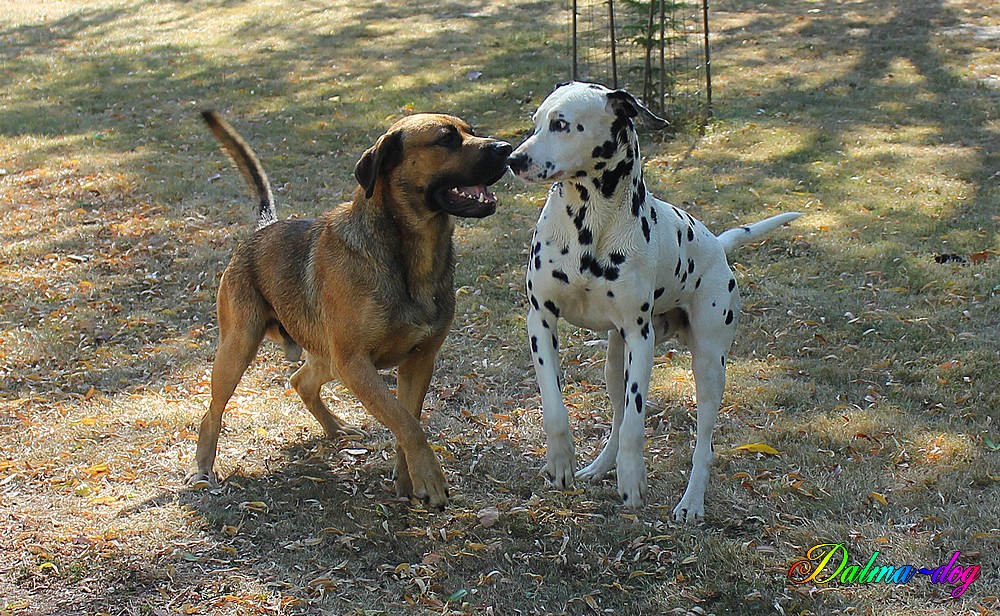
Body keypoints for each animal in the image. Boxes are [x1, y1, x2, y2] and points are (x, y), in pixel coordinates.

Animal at [191, 108, 512, 508]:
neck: (408, 256)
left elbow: (408, 418)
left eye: (471, 131)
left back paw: (335, 428)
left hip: (327, 358)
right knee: (213, 412)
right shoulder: (356, 363)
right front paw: (430, 478)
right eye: (446, 139)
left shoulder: (418, 361)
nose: (507, 149)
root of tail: (263, 229)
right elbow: (407, 422)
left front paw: (408, 481)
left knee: (300, 381)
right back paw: (203, 468)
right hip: (239, 349)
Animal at [508, 82, 804, 524]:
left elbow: (636, 424)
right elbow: (556, 406)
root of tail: (718, 245)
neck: (589, 226)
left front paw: (632, 478)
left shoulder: (640, 338)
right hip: (615, 363)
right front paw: (561, 461)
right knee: (616, 418)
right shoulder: (541, 321)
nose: (513, 159)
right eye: (537, 122)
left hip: (708, 367)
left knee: (702, 445)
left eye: (561, 124)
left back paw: (691, 502)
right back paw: (600, 467)